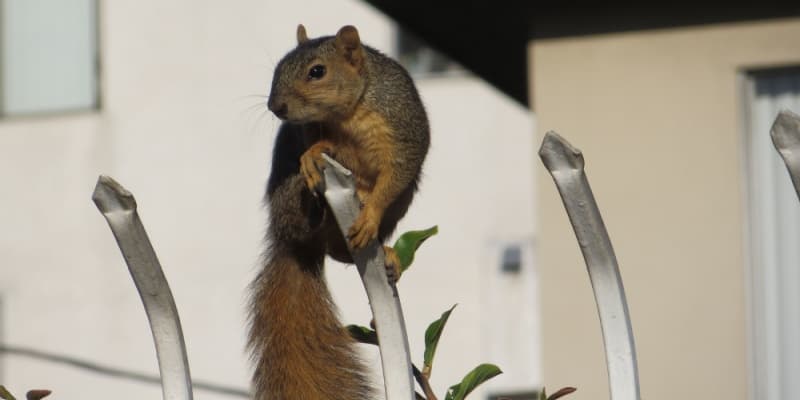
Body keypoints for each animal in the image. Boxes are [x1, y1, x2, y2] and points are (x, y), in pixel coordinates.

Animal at [248, 24, 430, 400]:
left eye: (317, 72)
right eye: (278, 69)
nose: (276, 106)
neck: (348, 114)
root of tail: (294, 245)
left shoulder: (402, 133)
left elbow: (394, 177)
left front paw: (370, 211)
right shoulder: (315, 132)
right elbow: (321, 146)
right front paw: (314, 153)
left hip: (400, 205)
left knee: (341, 252)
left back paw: (386, 253)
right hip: (286, 199)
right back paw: (312, 201)